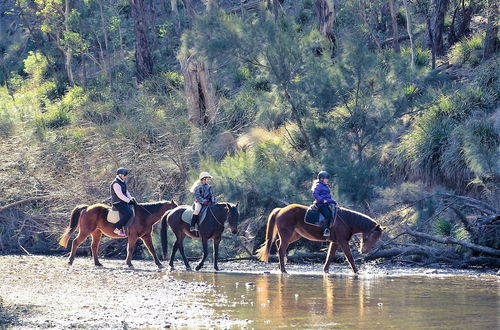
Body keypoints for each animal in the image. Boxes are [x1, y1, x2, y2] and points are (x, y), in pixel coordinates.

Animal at [256, 204, 384, 274]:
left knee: (279, 244)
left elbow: (329, 256)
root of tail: (281, 209)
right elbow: (350, 257)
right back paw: (283, 270)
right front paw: (357, 273)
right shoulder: (342, 241)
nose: (364, 251)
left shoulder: (335, 242)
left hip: (294, 235)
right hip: (287, 234)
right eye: (372, 236)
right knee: (281, 249)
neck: (347, 221)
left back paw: (281, 266)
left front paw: (325, 271)